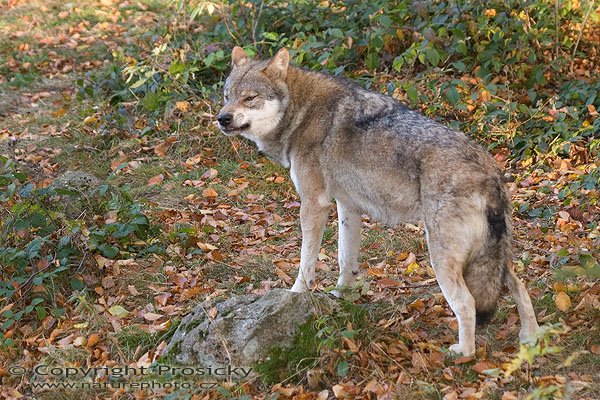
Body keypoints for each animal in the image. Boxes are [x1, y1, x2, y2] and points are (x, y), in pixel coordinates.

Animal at [216, 47, 540, 356]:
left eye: (249, 98)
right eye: (227, 96)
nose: (222, 118)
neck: (301, 112)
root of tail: (490, 171)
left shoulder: (314, 204)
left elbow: (306, 264)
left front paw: (295, 296)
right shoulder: (347, 205)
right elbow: (345, 258)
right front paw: (342, 296)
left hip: (442, 258)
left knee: (466, 303)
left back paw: (464, 353)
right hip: (493, 258)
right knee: (520, 286)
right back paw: (531, 337)